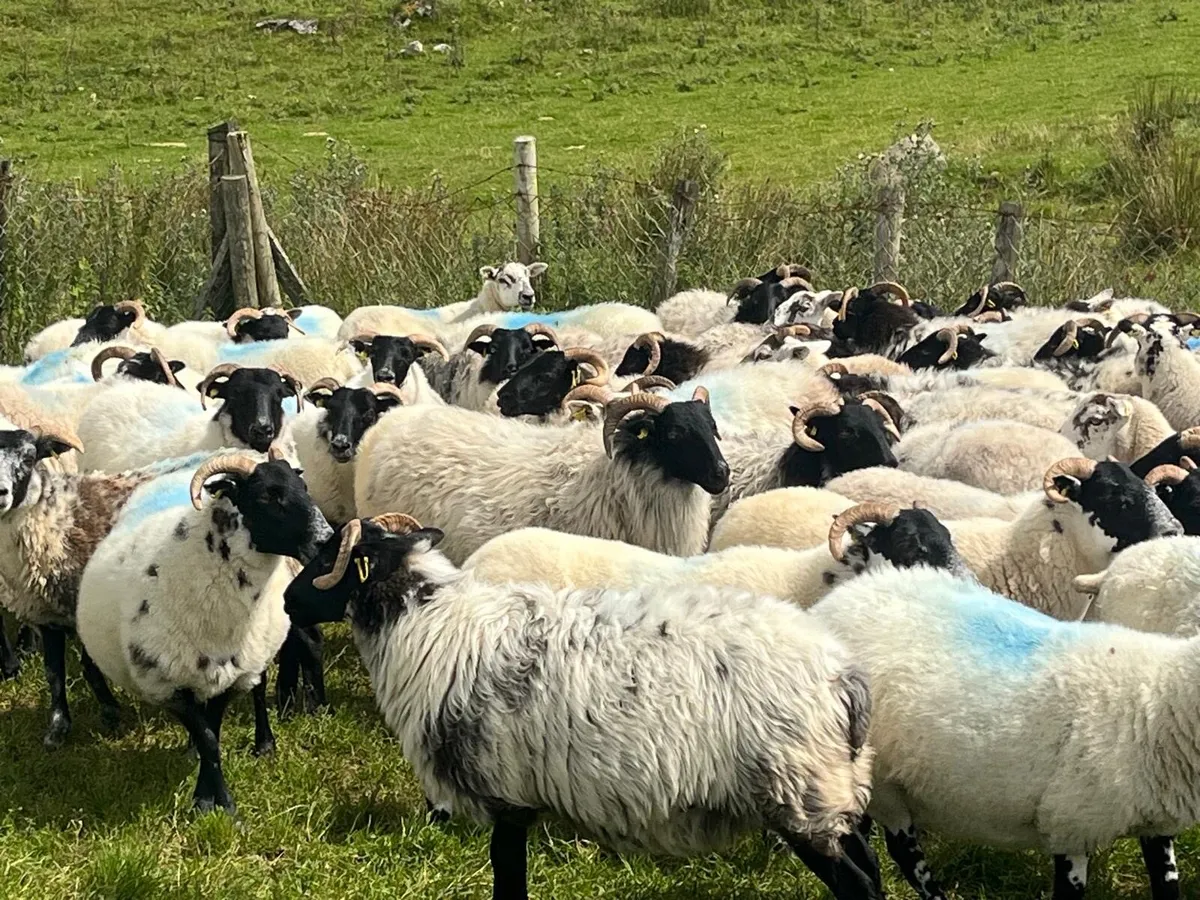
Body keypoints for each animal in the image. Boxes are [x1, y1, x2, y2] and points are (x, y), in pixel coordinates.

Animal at [75, 450, 334, 813]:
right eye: (268, 496)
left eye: (303, 486)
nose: (326, 540)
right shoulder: (168, 685)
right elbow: (208, 738)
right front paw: (213, 799)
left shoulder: (230, 674)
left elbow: (213, 730)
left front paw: (211, 797)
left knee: (259, 688)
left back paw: (264, 743)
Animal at [283, 512, 881, 900]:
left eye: (327, 555)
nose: (288, 601)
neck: (428, 624)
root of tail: (844, 676)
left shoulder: (508, 795)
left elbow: (507, 877)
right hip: (830, 793)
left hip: (799, 790)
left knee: (859, 887)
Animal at [811, 564, 1200, 900]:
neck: (1157, 698)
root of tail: (832, 603)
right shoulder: (1071, 825)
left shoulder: (1156, 827)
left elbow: (1167, 884)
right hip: (882, 784)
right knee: (901, 853)